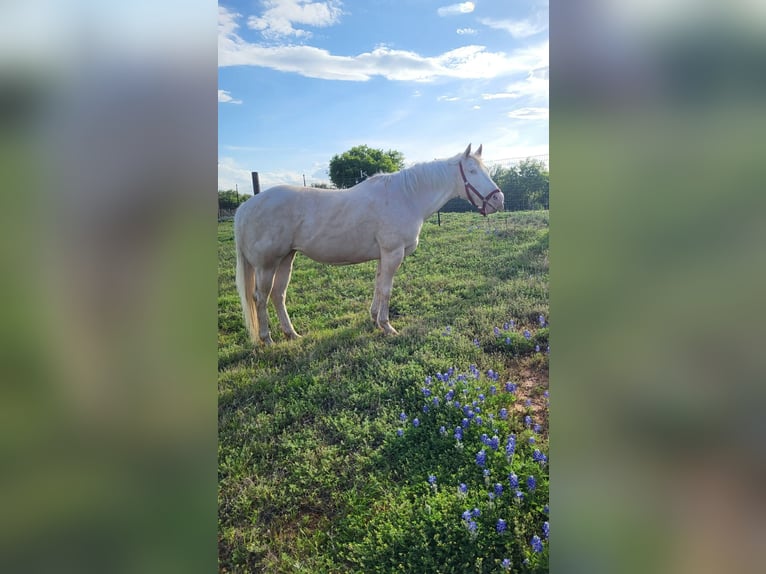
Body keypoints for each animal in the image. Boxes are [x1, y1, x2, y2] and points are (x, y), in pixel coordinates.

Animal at [234, 143, 504, 345]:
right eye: (471, 171)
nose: (498, 200)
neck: (407, 197)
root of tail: (246, 207)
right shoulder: (393, 253)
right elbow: (386, 290)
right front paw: (387, 326)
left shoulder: (383, 256)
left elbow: (377, 286)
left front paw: (374, 320)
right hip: (266, 265)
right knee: (260, 297)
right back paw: (267, 339)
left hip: (286, 259)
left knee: (278, 295)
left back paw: (291, 334)